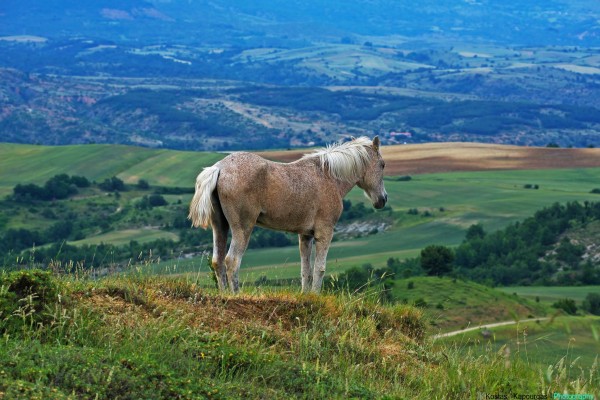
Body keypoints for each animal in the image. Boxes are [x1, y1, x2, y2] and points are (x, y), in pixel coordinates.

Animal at [190, 136, 392, 292]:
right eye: (382, 165)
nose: (382, 199)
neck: (328, 177)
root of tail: (219, 168)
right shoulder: (325, 233)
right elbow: (319, 269)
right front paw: (315, 295)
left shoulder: (305, 236)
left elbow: (306, 270)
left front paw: (306, 295)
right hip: (243, 228)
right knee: (232, 261)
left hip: (220, 226)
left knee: (218, 262)